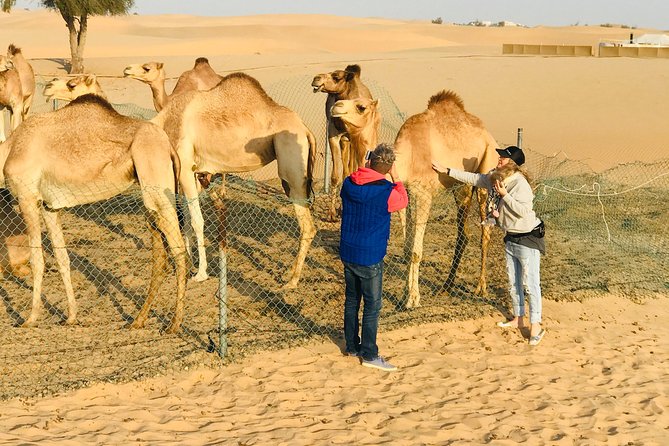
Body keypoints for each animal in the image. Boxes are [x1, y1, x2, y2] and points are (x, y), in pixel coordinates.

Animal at [0, 94, 187, 330]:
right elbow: (62, 258)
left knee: (178, 249)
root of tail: (170, 146)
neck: (10, 149)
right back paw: (138, 320)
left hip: (157, 188)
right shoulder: (49, 206)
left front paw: (30, 319)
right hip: (153, 201)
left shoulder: (27, 198)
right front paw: (71, 317)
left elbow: (37, 260)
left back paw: (174, 324)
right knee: (160, 254)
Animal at [152, 71, 316, 287]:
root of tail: (305, 129)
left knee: (307, 226)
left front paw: (201, 273)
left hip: (292, 163)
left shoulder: (185, 167)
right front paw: (190, 264)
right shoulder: (194, 172)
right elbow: (186, 220)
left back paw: (292, 280)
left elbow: (196, 221)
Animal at [311, 64, 373, 220]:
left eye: (336, 77)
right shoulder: (334, 134)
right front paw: (331, 214)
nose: (316, 78)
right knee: (346, 167)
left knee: (351, 166)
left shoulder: (356, 137)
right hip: (345, 140)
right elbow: (335, 176)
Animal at [394, 90, 498, 308]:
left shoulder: (422, 192)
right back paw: (446, 286)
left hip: (487, 171)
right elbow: (407, 249)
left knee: (485, 234)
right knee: (464, 234)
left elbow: (415, 251)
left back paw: (480, 288)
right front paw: (403, 296)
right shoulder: (406, 191)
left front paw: (413, 300)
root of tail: (491, 137)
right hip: (462, 186)